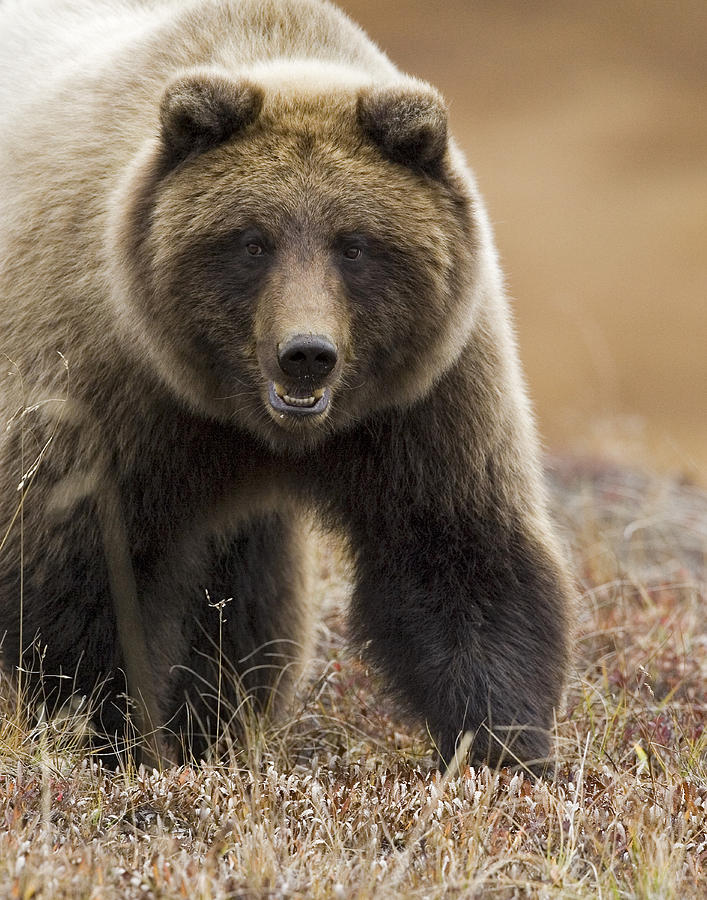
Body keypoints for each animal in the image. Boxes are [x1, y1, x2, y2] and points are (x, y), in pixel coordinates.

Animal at [0, 0, 572, 772]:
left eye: (354, 244)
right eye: (252, 240)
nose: (306, 354)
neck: (246, 419)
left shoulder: (424, 399)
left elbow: (461, 554)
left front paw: (505, 750)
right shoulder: (104, 388)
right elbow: (87, 584)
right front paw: (112, 738)